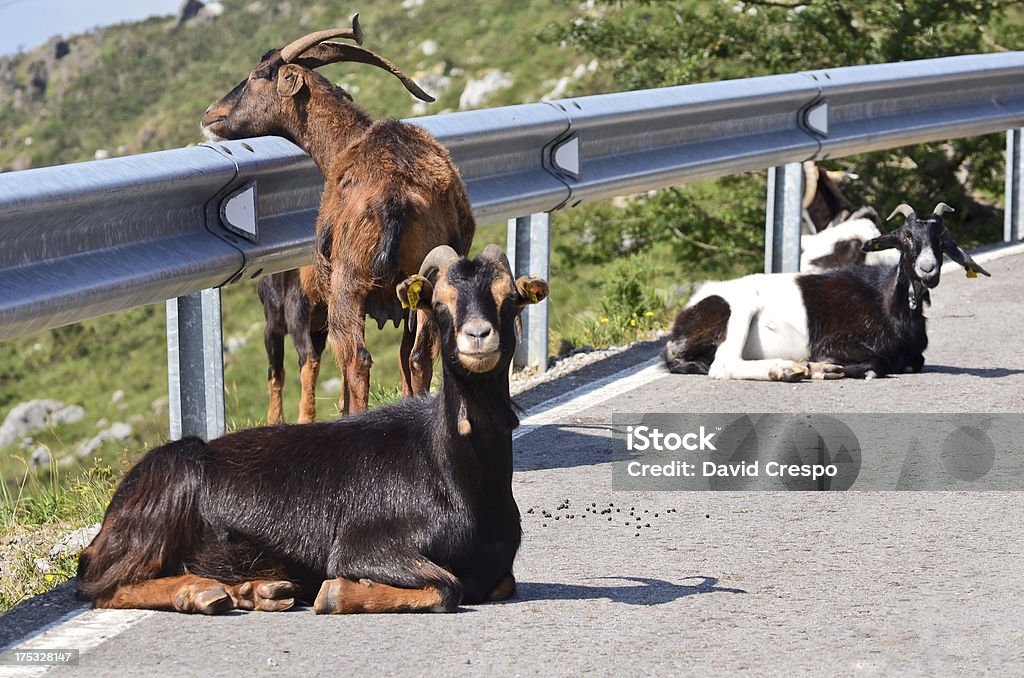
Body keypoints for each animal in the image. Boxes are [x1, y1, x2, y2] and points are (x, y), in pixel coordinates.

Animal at [77, 245, 552, 614]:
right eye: (439, 303)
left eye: (509, 300)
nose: (479, 336)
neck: (457, 476)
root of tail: (112, 517)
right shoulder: (365, 544)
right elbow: (446, 586)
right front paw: (337, 593)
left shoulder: (500, 575)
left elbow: (497, 583)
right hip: (170, 488)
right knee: (102, 584)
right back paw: (198, 591)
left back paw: (257, 591)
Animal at [201, 17, 477, 419]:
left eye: (256, 75)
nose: (211, 114)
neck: (343, 144)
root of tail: (393, 199)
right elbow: (405, 358)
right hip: (426, 280)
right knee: (419, 356)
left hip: (346, 287)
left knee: (356, 359)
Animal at [663, 201, 991, 383]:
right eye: (905, 237)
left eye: (942, 238)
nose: (927, 269)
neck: (888, 304)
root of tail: (681, 323)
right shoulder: (833, 343)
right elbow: (878, 363)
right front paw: (821, 367)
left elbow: (914, 362)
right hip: (739, 306)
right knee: (724, 364)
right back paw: (785, 370)